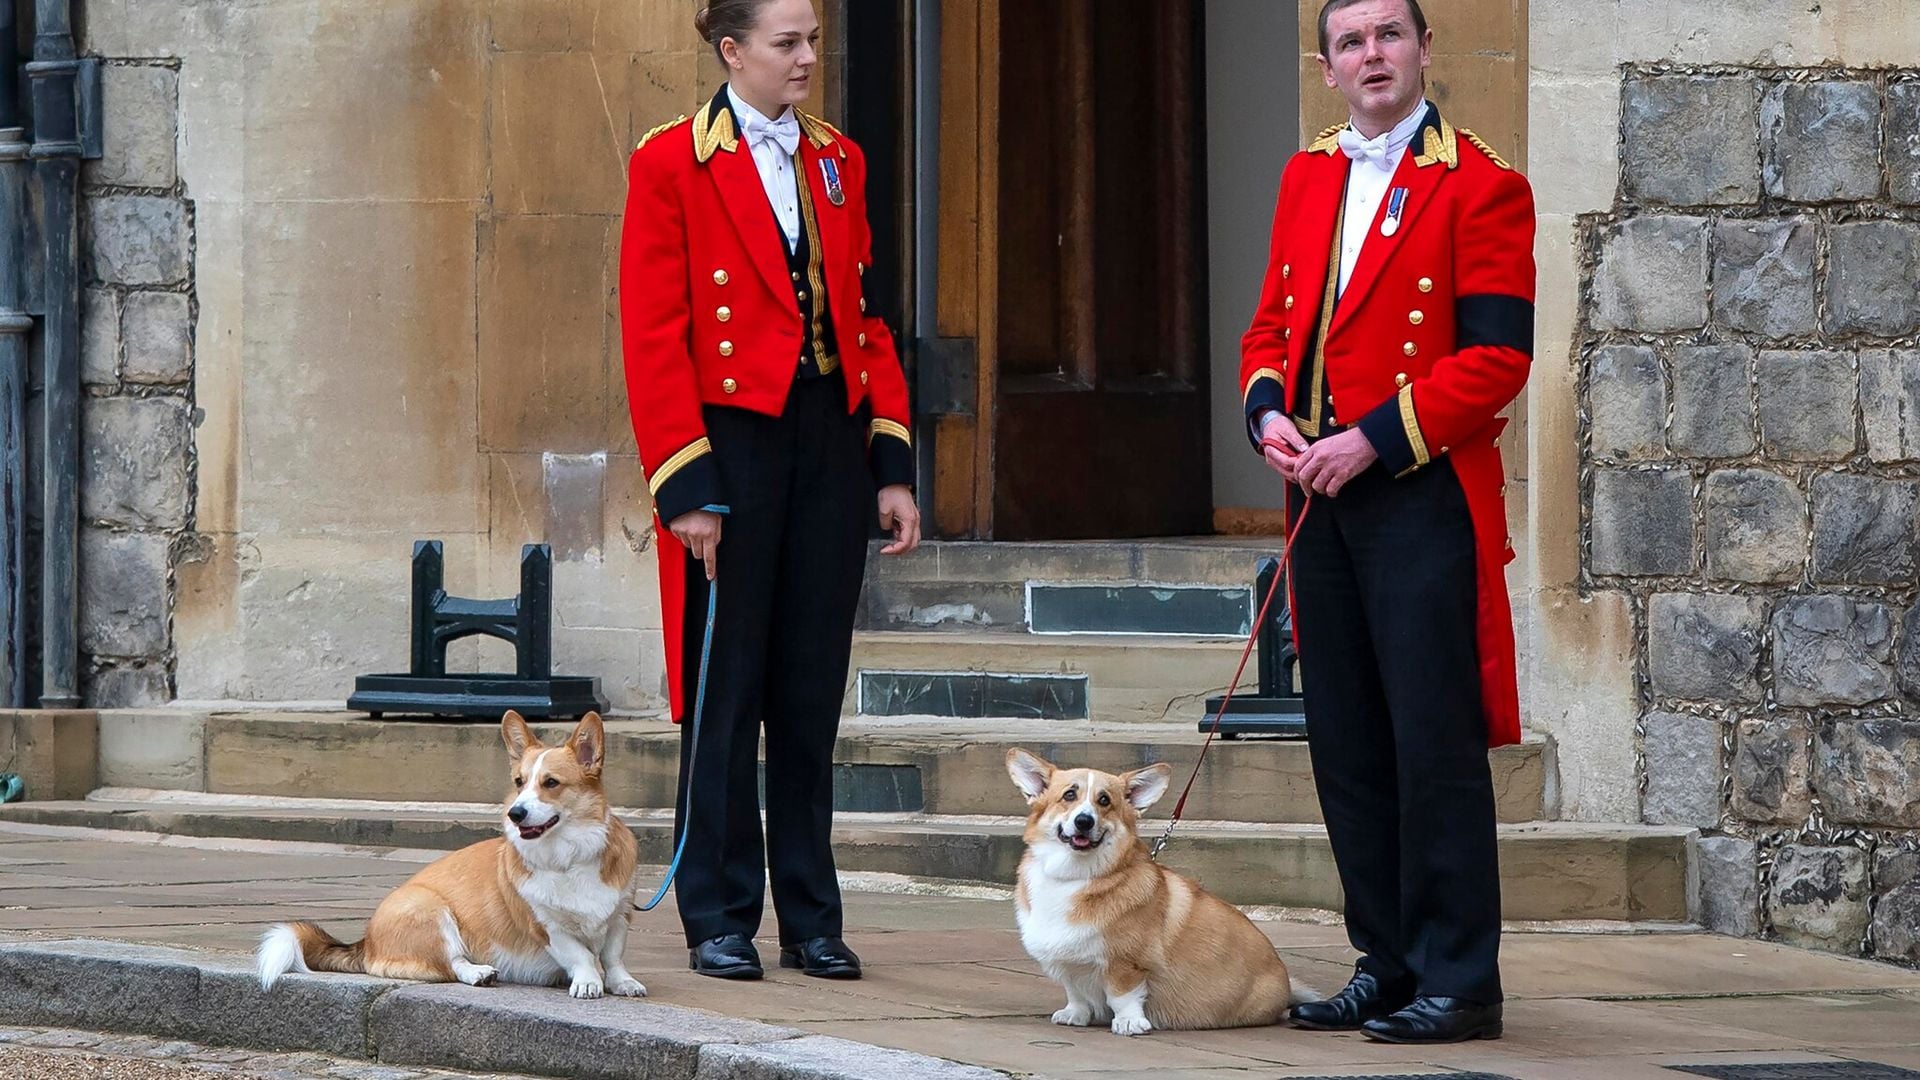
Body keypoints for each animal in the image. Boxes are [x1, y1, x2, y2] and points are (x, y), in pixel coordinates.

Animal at [255, 711, 648, 999]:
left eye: (551, 783)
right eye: (519, 783)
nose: (515, 813)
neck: (567, 857)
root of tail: (366, 943)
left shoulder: (619, 917)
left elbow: (612, 956)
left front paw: (622, 983)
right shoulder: (547, 927)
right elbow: (580, 955)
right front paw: (588, 982)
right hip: (433, 912)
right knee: (451, 963)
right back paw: (478, 973)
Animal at [1006, 745, 1305, 1030]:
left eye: (1104, 800)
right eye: (1069, 795)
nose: (1084, 821)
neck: (1074, 876)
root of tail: (1286, 982)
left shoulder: (1126, 963)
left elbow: (1123, 996)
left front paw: (1129, 1023)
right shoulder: (1070, 964)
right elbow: (1076, 993)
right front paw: (1074, 1014)